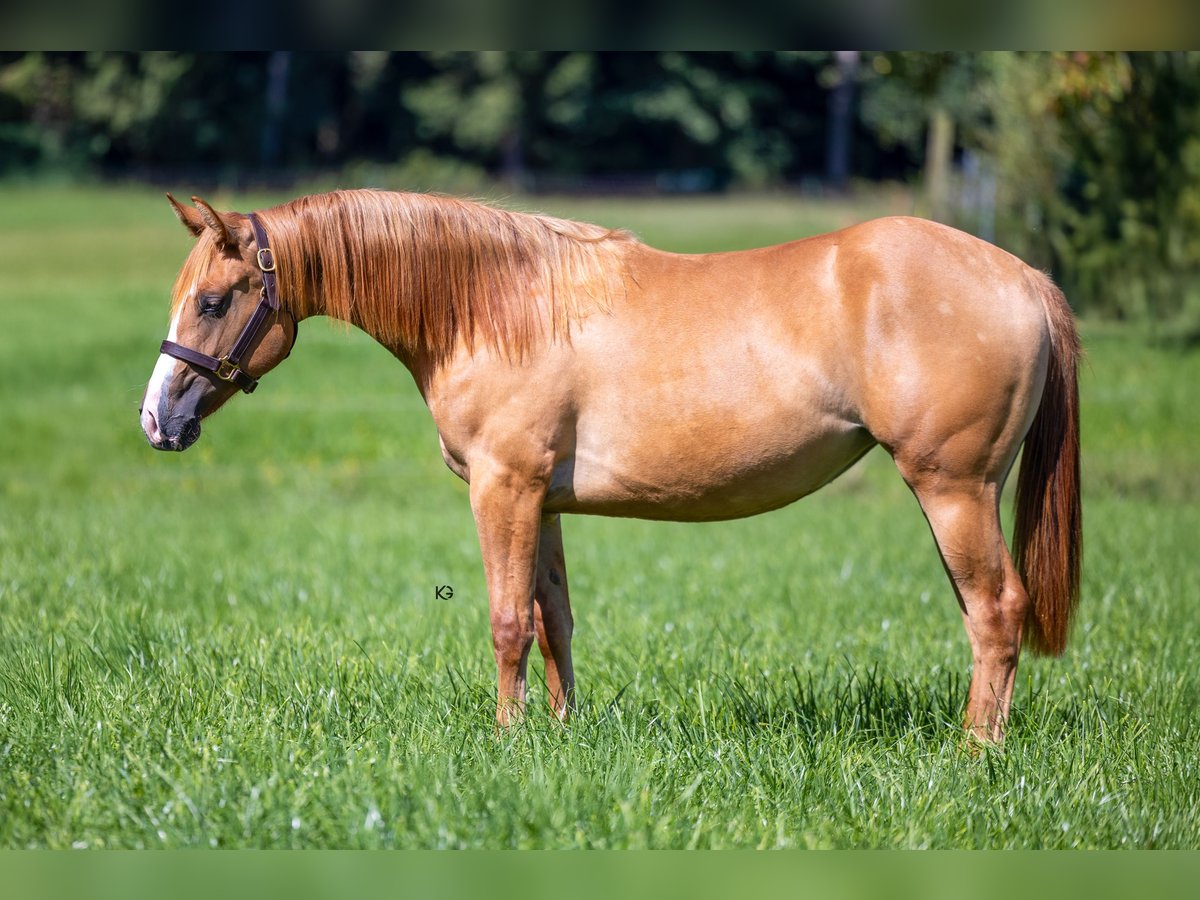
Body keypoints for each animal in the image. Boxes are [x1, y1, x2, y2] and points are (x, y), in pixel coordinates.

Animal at [139, 189, 1081, 742]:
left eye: (214, 300)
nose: (157, 420)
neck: (498, 302)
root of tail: (1023, 276)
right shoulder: (545, 501)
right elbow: (553, 620)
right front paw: (559, 733)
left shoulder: (504, 488)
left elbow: (506, 622)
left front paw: (509, 740)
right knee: (983, 617)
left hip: (953, 489)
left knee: (998, 612)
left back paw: (975, 755)